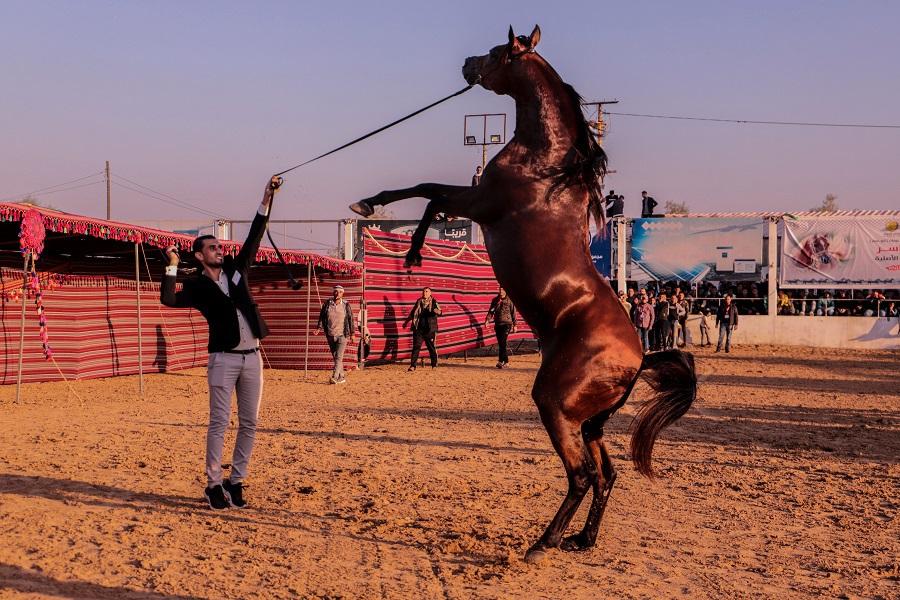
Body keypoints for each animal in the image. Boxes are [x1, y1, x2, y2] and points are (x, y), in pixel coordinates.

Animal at [346, 27, 696, 564]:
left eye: (496, 52)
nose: (467, 64)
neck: (545, 162)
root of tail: (640, 359)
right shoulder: (475, 198)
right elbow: (429, 193)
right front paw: (400, 235)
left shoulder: (479, 201)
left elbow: (428, 191)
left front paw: (401, 241)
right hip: (589, 422)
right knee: (607, 475)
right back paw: (581, 539)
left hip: (556, 406)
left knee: (582, 476)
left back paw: (543, 543)